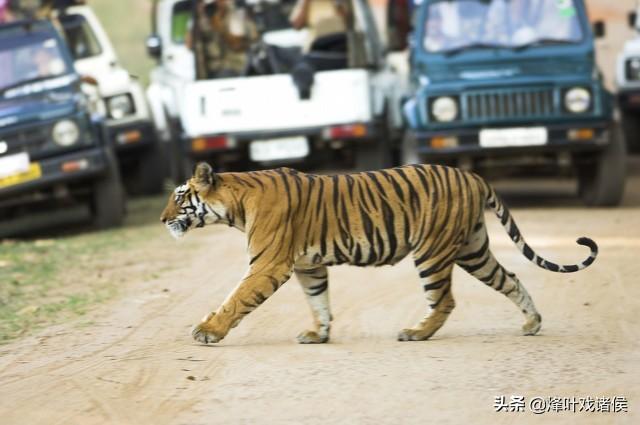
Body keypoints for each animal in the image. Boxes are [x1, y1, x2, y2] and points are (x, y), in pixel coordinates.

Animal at [159, 161, 596, 342]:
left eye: (179, 197)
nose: (162, 220)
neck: (235, 203)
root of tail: (471, 175)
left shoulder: (268, 264)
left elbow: (235, 299)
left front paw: (208, 331)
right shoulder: (307, 266)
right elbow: (319, 301)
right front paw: (319, 334)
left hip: (433, 251)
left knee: (445, 300)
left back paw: (417, 333)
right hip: (473, 250)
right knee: (511, 278)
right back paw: (532, 322)